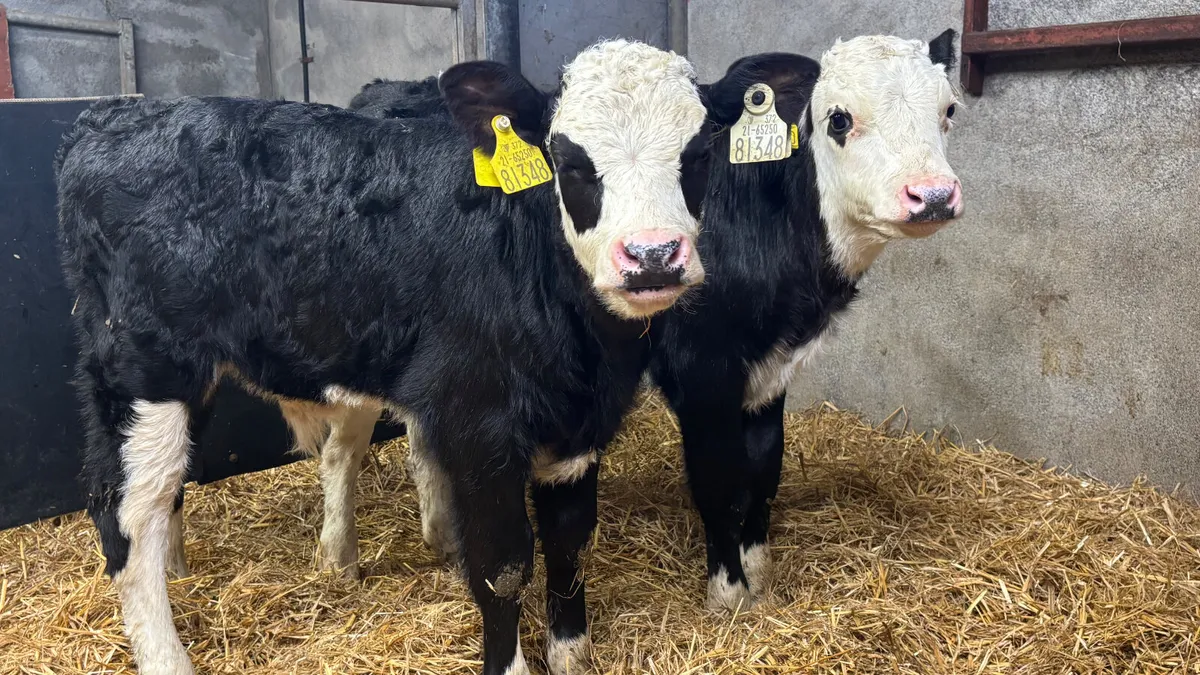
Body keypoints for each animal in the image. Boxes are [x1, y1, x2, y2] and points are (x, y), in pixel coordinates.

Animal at [56, 40, 710, 675]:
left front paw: (571, 655)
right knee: (126, 512)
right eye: (571, 162)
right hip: (142, 364)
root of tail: (109, 118)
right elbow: (502, 567)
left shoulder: (578, 428)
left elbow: (570, 545)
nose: (652, 256)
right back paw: (167, 654)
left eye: (698, 156)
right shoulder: (479, 420)